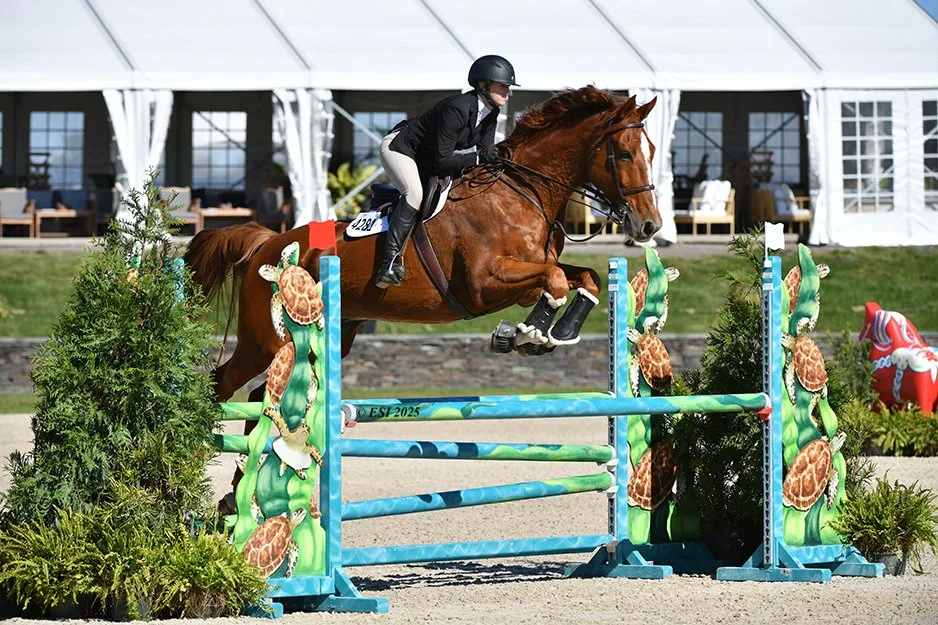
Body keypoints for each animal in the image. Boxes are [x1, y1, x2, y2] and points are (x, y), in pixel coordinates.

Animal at [185, 86, 662, 403]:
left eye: (653, 150)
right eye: (623, 153)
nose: (649, 225)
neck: (523, 192)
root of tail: (268, 244)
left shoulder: (526, 276)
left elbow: (584, 276)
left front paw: (551, 334)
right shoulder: (483, 285)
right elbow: (556, 279)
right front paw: (526, 335)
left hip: (327, 338)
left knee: (262, 395)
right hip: (263, 340)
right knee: (222, 384)